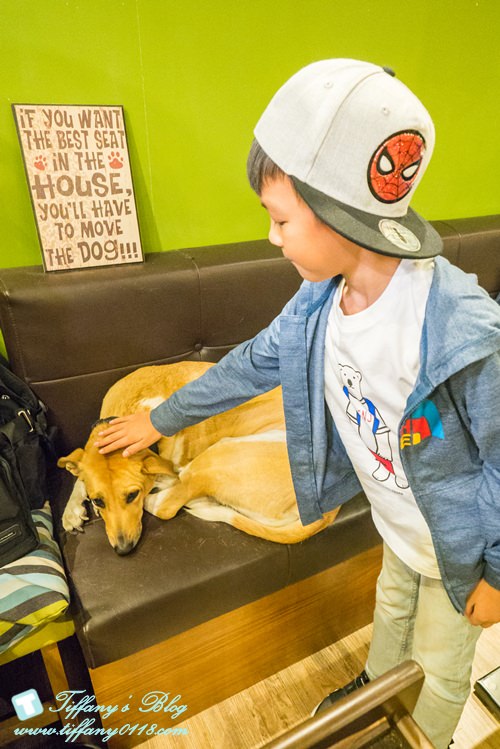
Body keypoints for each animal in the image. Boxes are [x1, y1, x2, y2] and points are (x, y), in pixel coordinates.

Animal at [59, 362, 339, 554]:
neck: (131, 411)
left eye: (132, 495)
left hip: (216, 456)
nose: (123, 550)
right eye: (98, 501)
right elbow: (78, 473)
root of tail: (328, 509)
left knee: (168, 505)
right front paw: (71, 511)